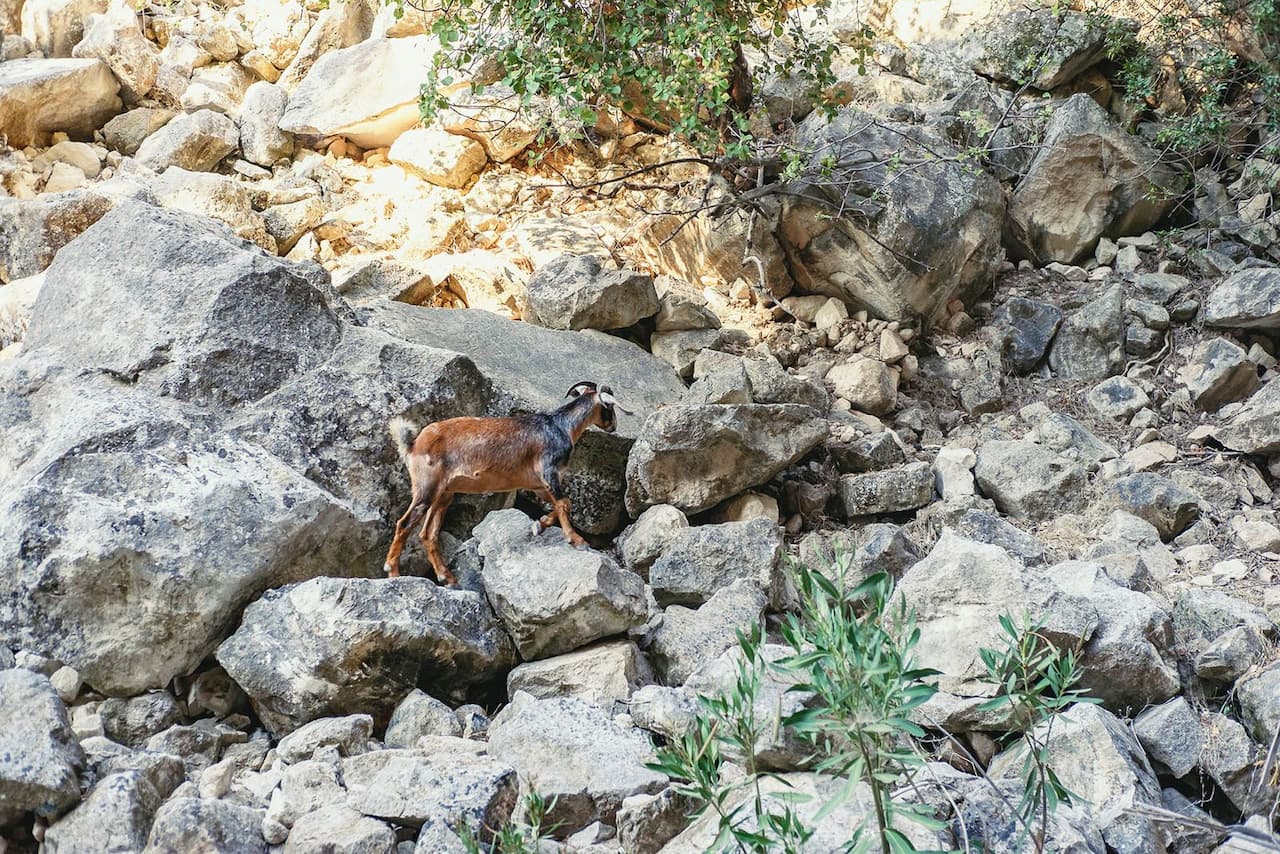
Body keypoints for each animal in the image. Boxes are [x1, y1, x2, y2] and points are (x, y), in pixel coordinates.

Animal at [378, 384, 624, 583]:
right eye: (610, 407)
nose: (613, 426)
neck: (560, 426)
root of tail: (413, 444)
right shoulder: (548, 471)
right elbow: (564, 503)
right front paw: (577, 540)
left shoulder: (536, 485)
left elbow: (561, 504)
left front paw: (539, 525)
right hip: (426, 488)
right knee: (405, 523)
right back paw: (393, 571)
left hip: (443, 495)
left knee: (427, 534)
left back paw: (447, 577)